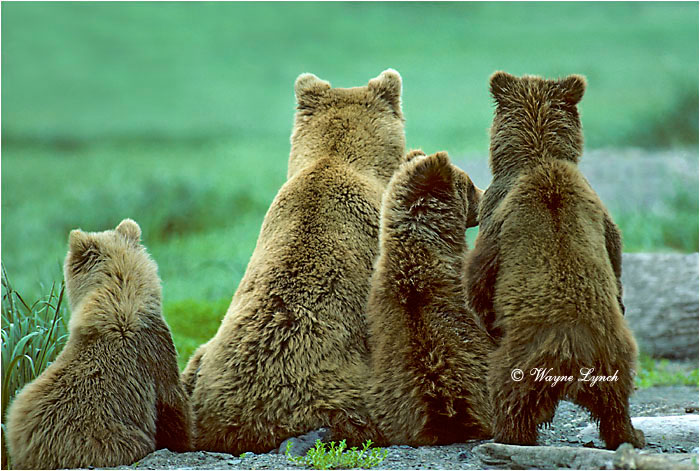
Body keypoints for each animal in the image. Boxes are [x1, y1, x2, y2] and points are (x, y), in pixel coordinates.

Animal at [464, 71, 645, 450]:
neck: (540, 155)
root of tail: (572, 353)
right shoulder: (598, 210)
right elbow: (615, 251)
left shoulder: (498, 214)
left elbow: (479, 276)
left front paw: (483, 314)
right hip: (615, 352)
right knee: (617, 398)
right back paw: (630, 433)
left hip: (524, 356)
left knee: (508, 389)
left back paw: (508, 435)